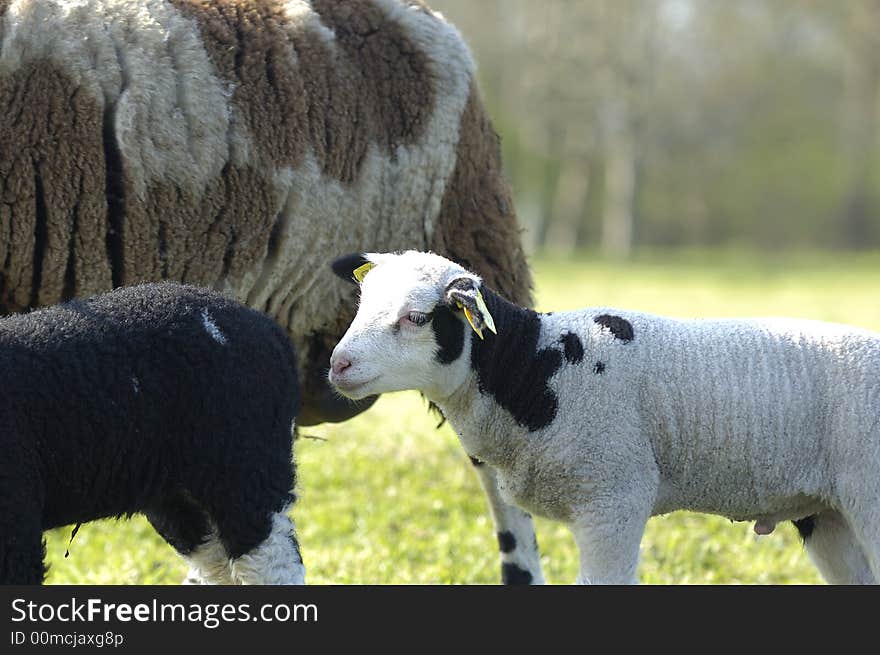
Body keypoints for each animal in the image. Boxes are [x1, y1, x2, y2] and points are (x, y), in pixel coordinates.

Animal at [330, 251, 880, 584]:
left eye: (417, 318)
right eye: (360, 304)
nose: (338, 365)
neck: (531, 369)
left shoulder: (612, 496)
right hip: (828, 513)